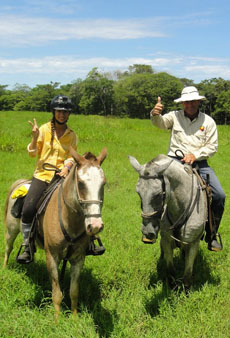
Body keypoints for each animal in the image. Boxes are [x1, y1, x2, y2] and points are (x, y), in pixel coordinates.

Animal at [3, 148, 107, 316]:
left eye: (103, 183)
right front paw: (57, 320)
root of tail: (23, 182)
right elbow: (57, 294)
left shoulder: (78, 258)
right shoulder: (52, 257)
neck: (68, 218)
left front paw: (75, 318)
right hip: (11, 230)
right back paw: (5, 269)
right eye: (80, 183)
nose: (95, 226)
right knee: (8, 248)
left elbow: (74, 291)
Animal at [128, 154, 208, 290]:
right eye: (138, 193)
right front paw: (172, 287)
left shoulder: (193, 243)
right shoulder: (166, 240)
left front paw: (185, 291)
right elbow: (170, 268)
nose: (147, 232)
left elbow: (187, 273)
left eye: (159, 194)